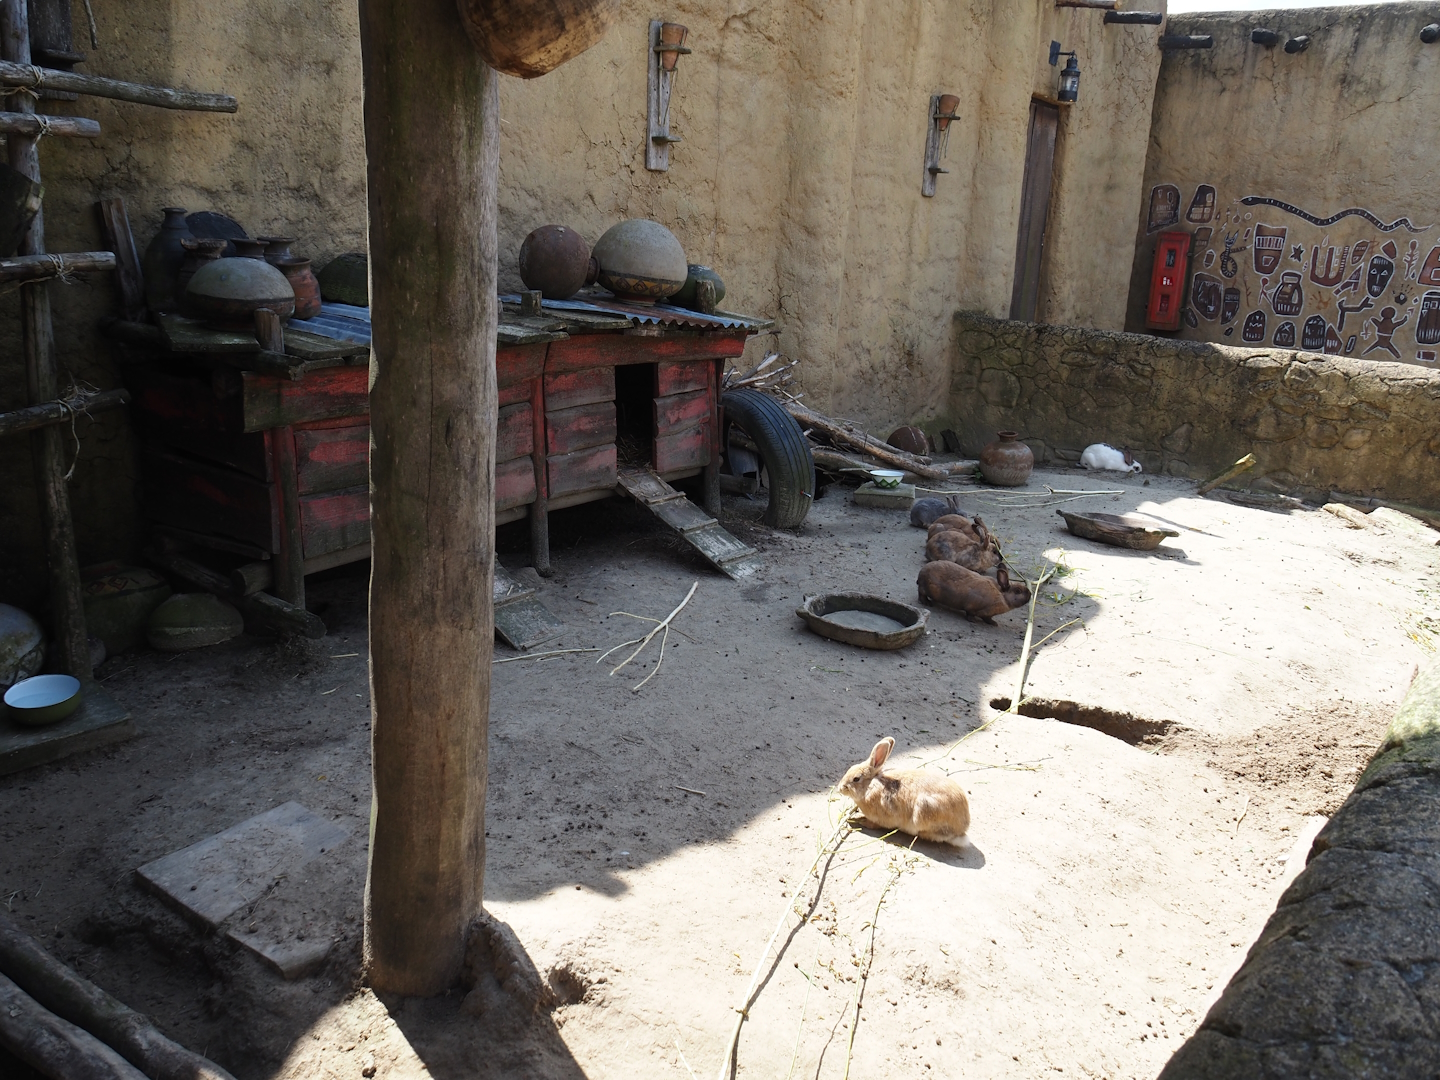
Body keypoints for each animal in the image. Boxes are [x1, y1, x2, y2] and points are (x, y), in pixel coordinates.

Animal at [838, 737, 970, 845]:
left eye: (856, 779)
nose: (840, 788)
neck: (870, 786)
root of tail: (962, 829)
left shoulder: (879, 818)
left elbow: (873, 824)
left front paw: (859, 820)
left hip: (924, 808)